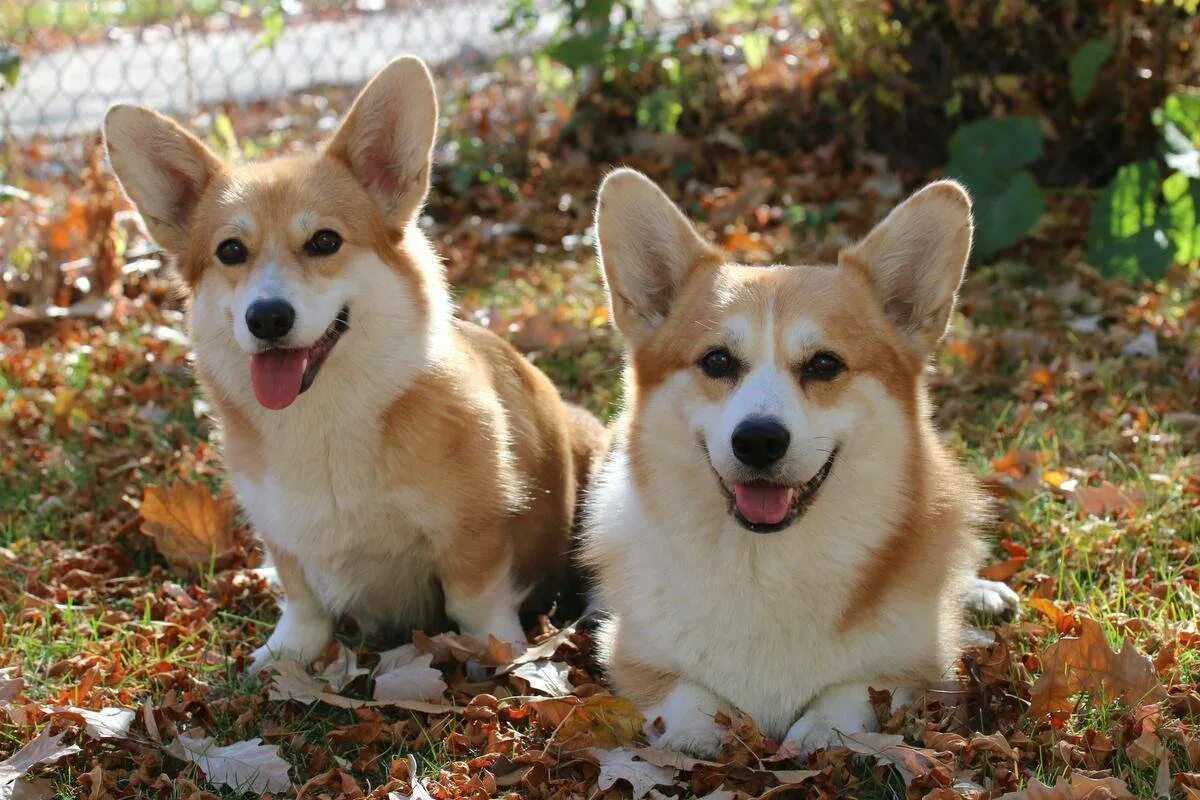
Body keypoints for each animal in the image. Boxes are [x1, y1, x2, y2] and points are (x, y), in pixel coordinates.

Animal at [103, 56, 604, 671]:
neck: (323, 418)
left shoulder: (473, 530)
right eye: (230, 251)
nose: (267, 317)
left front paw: (500, 653)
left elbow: (474, 601)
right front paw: (286, 654)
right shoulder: (282, 533)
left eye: (324, 241)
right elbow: (303, 602)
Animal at [585, 169, 1017, 758]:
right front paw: (708, 734)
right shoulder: (631, 654)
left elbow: (852, 695)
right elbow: (688, 699)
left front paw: (819, 735)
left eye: (824, 365)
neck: (765, 563)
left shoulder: (913, 668)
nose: (759, 441)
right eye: (717, 361)